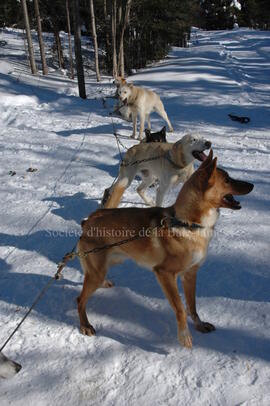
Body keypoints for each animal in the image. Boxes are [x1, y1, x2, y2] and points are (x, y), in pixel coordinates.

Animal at [77, 151, 254, 348]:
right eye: (228, 180)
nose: (252, 185)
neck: (188, 224)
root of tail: (90, 218)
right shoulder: (165, 274)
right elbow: (180, 308)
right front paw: (184, 336)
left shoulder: (190, 274)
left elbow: (192, 306)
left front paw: (199, 326)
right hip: (97, 271)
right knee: (80, 299)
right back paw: (85, 325)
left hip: (111, 260)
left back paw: (103, 284)